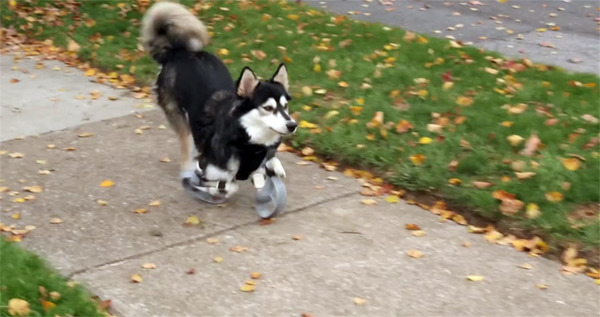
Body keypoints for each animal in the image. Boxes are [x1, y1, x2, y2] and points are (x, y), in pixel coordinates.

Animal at [143, 2, 298, 199]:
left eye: (285, 106)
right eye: (268, 108)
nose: (292, 125)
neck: (248, 141)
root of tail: (177, 53)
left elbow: (262, 170)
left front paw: (273, 165)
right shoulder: (209, 169)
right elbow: (228, 185)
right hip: (178, 116)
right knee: (186, 143)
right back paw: (186, 169)